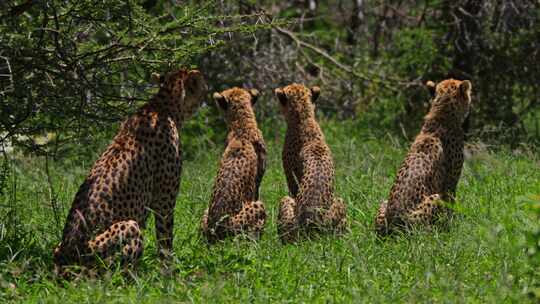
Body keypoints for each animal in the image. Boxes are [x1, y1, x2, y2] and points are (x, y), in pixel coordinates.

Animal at [54, 67, 207, 270]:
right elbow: (165, 240)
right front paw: (169, 271)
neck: (163, 106)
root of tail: (66, 258)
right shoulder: (164, 201)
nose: (207, 93)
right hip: (128, 227)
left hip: (58, 247)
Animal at [376, 78, 472, 235]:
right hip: (433, 200)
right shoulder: (450, 184)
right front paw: (453, 225)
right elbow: (451, 205)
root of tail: (391, 226)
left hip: (384, 203)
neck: (442, 114)